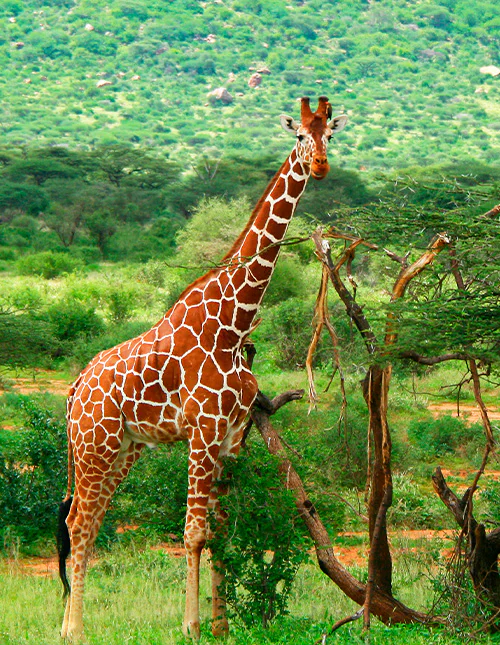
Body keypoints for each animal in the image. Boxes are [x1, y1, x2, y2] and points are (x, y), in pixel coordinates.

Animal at [57, 96, 347, 641]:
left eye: (331, 135)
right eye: (300, 135)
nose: (320, 166)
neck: (233, 325)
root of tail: (75, 387)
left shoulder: (231, 438)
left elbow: (221, 532)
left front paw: (222, 625)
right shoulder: (203, 432)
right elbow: (193, 533)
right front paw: (191, 625)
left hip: (123, 448)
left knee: (90, 520)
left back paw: (70, 625)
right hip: (93, 445)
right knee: (78, 524)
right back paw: (74, 630)